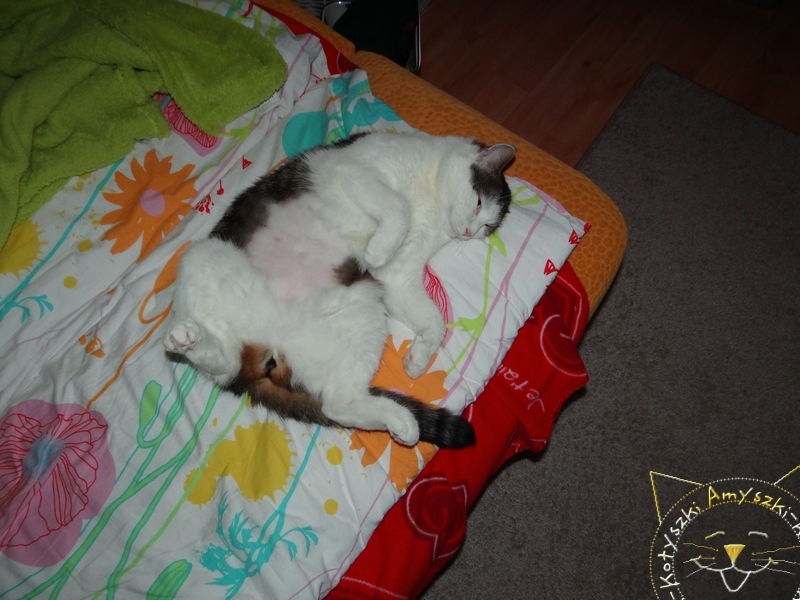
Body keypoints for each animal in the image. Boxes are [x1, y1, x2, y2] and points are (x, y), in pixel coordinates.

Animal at [164, 132, 514, 447]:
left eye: (487, 227)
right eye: (478, 203)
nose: (469, 232)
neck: (431, 200)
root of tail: (272, 341)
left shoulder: (398, 276)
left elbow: (435, 320)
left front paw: (419, 356)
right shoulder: (351, 170)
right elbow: (398, 206)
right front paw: (378, 249)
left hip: (364, 311)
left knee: (334, 403)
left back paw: (403, 422)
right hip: (203, 254)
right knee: (228, 363)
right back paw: (184, 336)